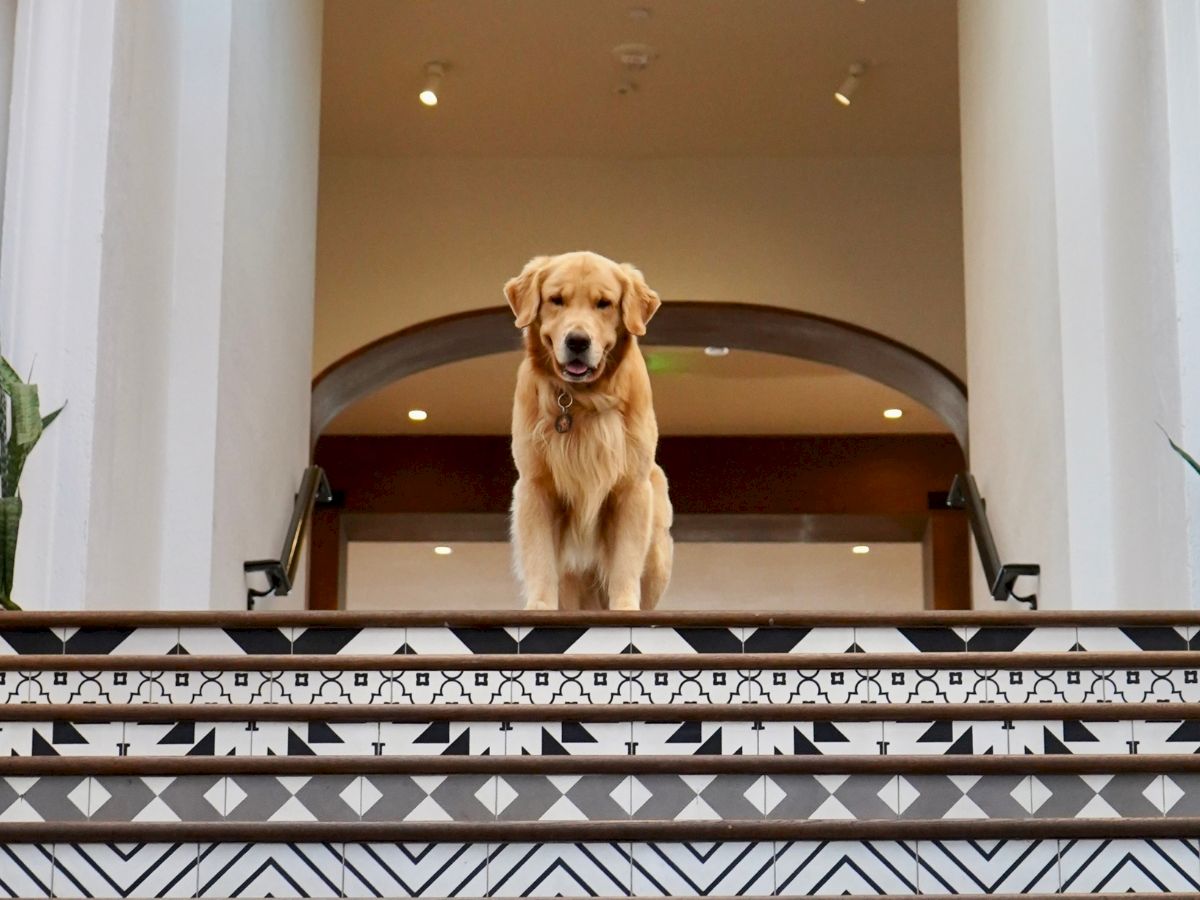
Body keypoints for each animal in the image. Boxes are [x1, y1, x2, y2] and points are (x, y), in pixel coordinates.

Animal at [504, 250, 676, 609]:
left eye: (604, 303)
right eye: (556, 299)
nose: (578, 341)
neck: (582, 398)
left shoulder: (631, 487)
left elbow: (625, 561)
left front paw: (625, 607)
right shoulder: (536, 485)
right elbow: (540, 558)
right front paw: (539, 606)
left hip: (657, 542)